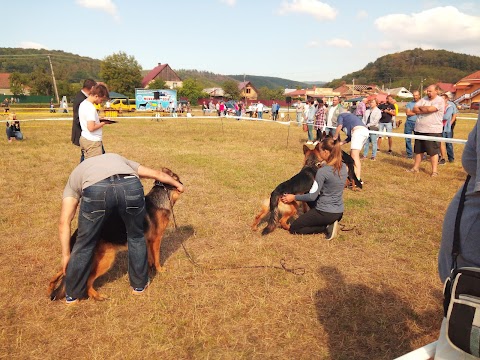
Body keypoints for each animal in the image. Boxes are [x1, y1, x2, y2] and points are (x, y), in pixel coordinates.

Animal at [49, 169, 182, 300]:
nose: (182, 184)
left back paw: (51, 287)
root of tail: (77, 233)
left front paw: (150, 268)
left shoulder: (147, 241)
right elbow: (157, 257)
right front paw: (160, 269)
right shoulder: (156, 240)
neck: (160, 198)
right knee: (87, 280)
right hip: (107, 259)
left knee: (64, 272)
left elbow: (149, 257)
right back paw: (97, 296)